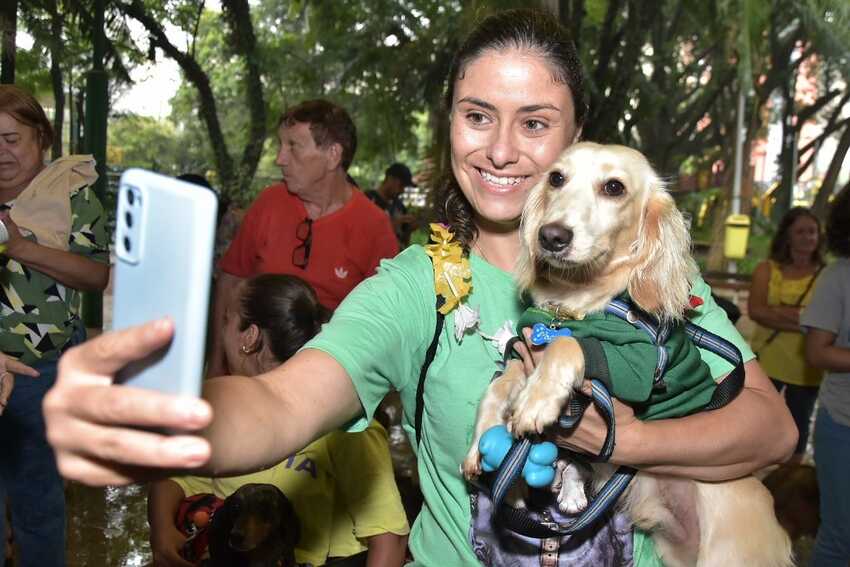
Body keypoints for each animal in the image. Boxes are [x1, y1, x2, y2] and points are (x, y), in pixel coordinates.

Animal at [460, 143, 792, 567]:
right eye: (556, 178)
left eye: (614, 187)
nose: (551, 236)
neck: (574, 307)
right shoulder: (526, 349)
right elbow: (500, 385)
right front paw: (481, 440)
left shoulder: (636, 366)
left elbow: (571, 346)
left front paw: (538, 400)